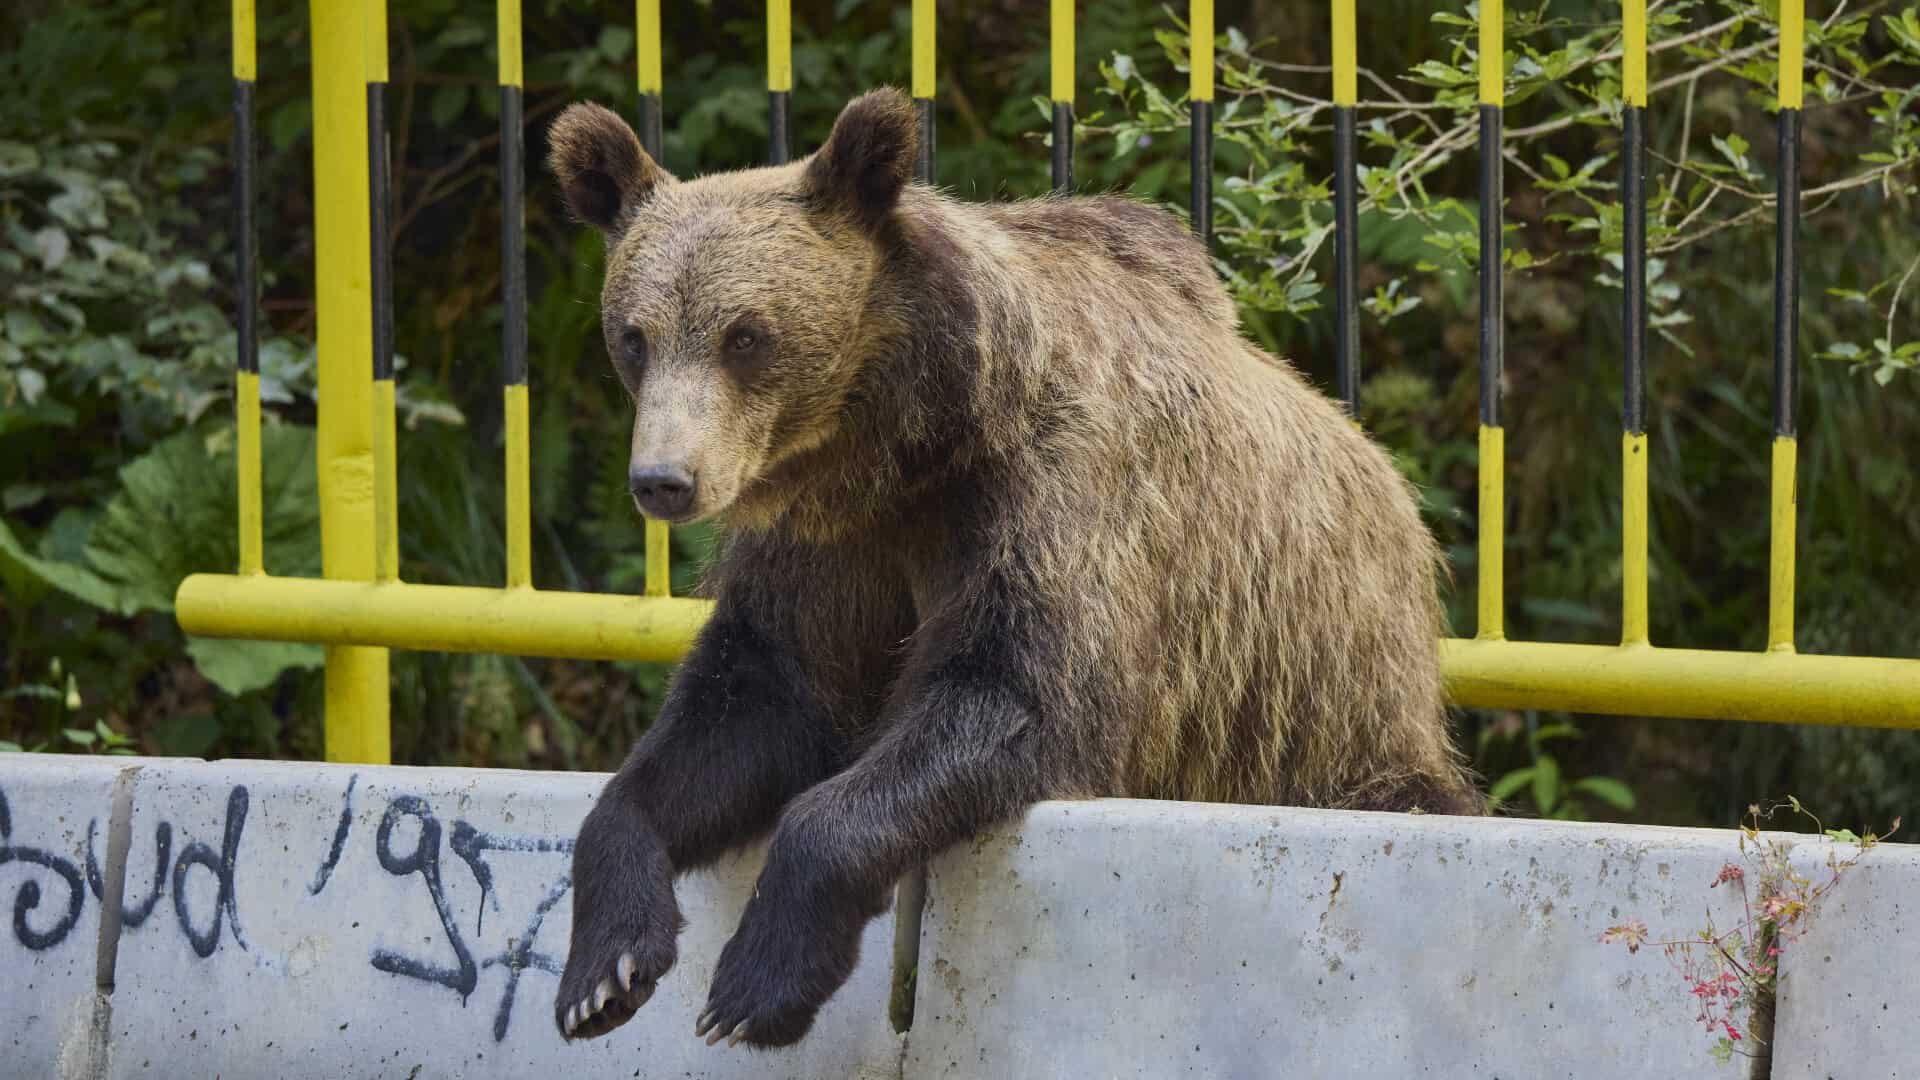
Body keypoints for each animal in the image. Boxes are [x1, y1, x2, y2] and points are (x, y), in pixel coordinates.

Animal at [549, 88, 1474, 1045]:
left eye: (746, 335)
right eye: (635, 336)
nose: (664, 478)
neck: (902, 441)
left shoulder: (1048, 497)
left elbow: (1014, 691)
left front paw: (753, 985)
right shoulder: (828, 550)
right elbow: (752, 701)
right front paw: (604, 969)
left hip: (1318, 712)